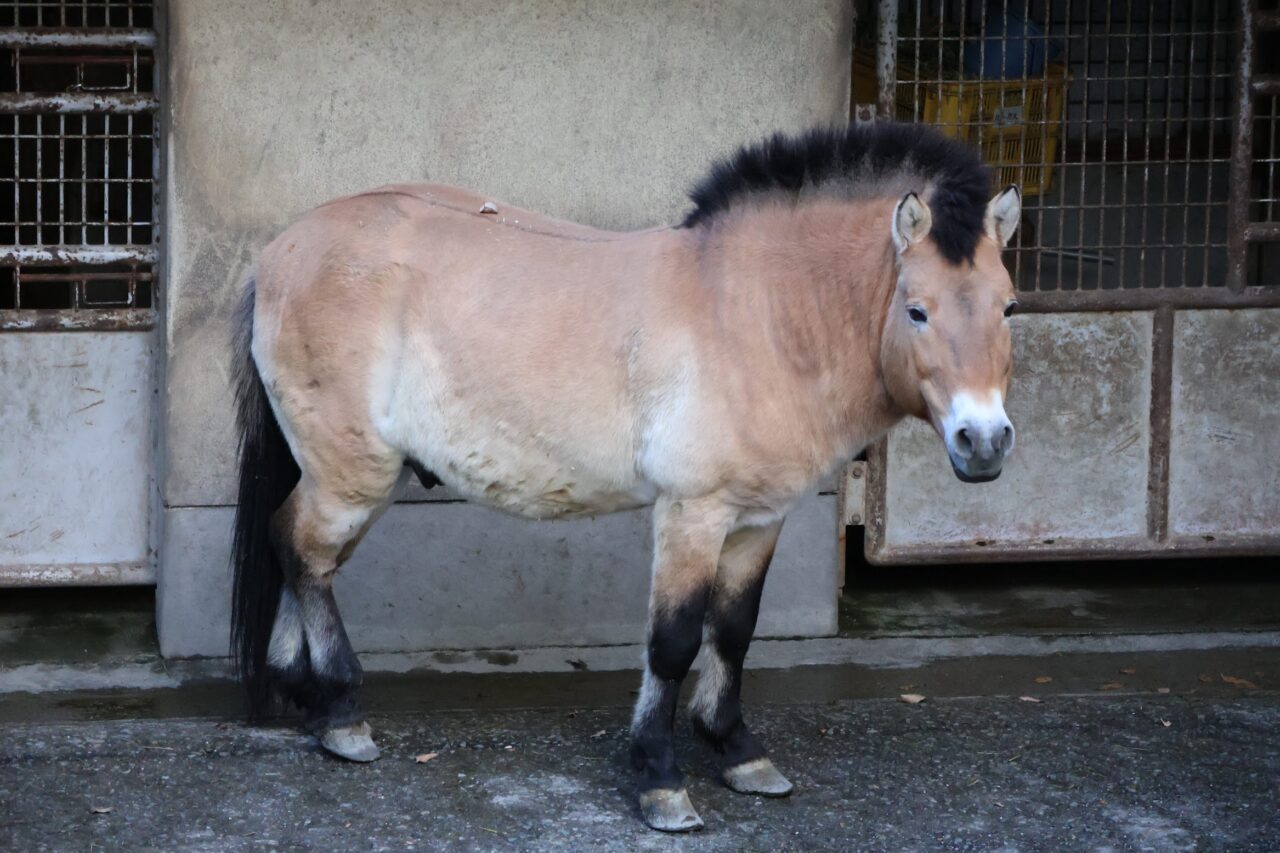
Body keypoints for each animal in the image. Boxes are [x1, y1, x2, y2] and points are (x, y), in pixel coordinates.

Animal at [230, 121, 1021, 832]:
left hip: (366, 478)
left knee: (305, 556)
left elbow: (733, 632)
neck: (758, 313)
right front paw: (660, 780)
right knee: (302, 550)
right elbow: (673, 641)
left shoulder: (759, 521)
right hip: (351, 474)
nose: (983, 442)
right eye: (917, 310)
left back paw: (307, 698)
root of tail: (281, 254)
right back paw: (340, 712)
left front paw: (737, 751)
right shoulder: (692, 514)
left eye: (1009, 305)